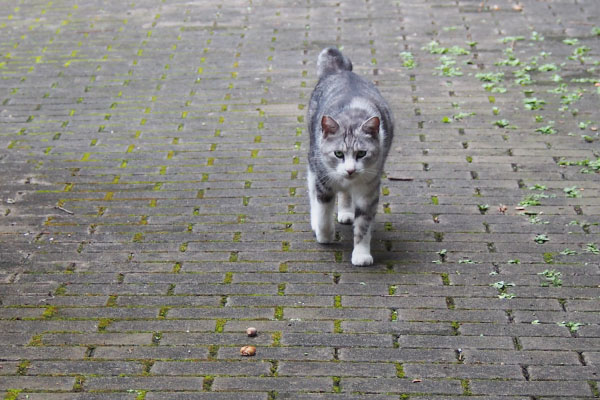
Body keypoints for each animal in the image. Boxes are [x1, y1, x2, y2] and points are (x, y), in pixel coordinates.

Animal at [308, 46, 396, 266]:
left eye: (361, 153)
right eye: (338, 153)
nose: (350, 170)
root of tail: (340, 72)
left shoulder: (369, 191)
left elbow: (363, 225)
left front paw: (361, 254)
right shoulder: (324, 181)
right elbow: (323, 212)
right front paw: (324, 235)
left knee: (346, 195)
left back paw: (346, 212)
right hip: (313, 160)